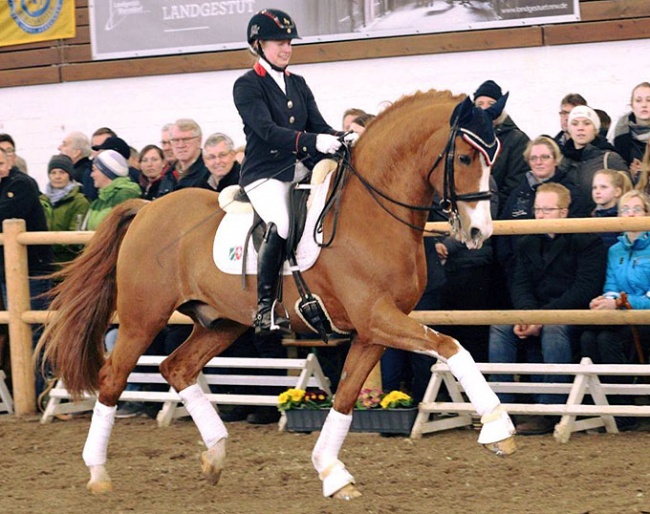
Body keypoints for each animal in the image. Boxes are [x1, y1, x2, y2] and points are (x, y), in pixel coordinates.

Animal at [39, 90, 516, 498]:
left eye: (494, 156)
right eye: (465, 156)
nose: (479, 232)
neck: (368, 216)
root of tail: (148, 207)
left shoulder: (373, 330)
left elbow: (347, 397)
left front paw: (332, 473)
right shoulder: (377, 317)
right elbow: (451, 346)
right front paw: (498, 429)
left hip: (220, 322)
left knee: (177, 367)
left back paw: (215, 455)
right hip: (143, 318)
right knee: (112, 379)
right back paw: (98, 473)